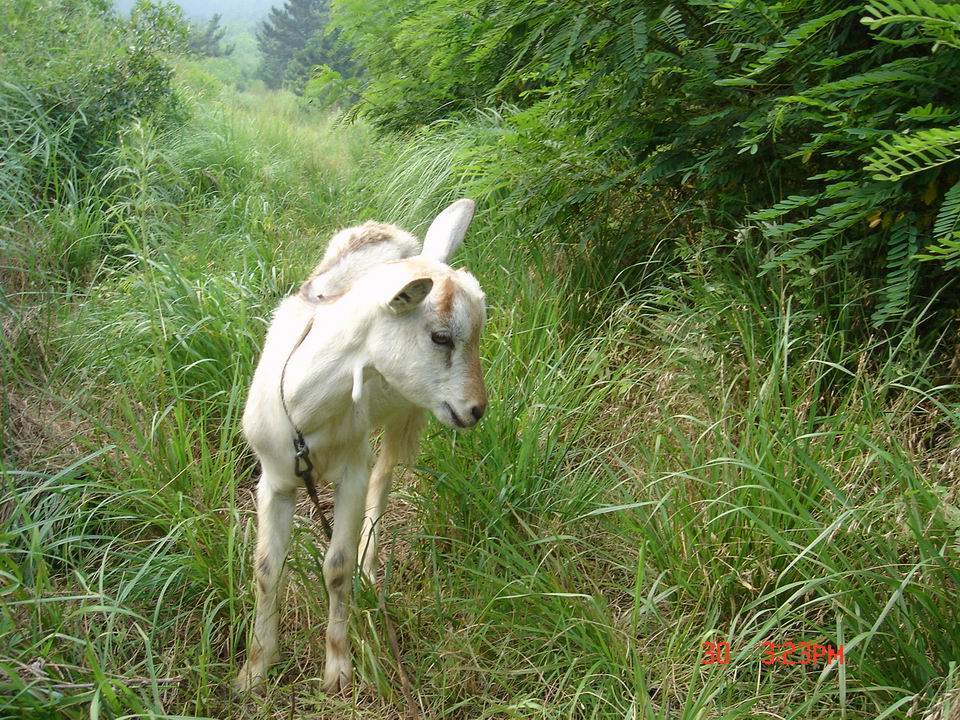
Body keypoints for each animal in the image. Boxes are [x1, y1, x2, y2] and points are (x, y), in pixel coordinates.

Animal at [235, 199, 488, 694]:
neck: (303, 412)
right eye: (441, 336)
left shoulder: (350, 471)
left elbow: (336, 566)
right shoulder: (273, 480)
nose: (476, 409)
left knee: (383, 477)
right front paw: (254, 671)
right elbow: (266, 569)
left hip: (407, 411)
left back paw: (369, 568)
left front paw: (338, 669)